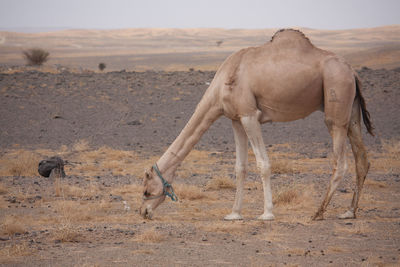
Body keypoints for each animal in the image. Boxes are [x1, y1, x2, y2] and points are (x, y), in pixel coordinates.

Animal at [139, 29, 374, 222]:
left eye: (146, 190)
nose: (143, 212)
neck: (222, 83)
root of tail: (352, 71)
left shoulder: (249, 114)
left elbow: (263, 164)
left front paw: (267, 213)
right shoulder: (235, 118)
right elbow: (240, 167)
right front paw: (234, 213)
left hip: (336, 103)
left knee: (340, 162)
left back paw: (318, 212)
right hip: (352, 112)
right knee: (361, 158)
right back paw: (349, 211)